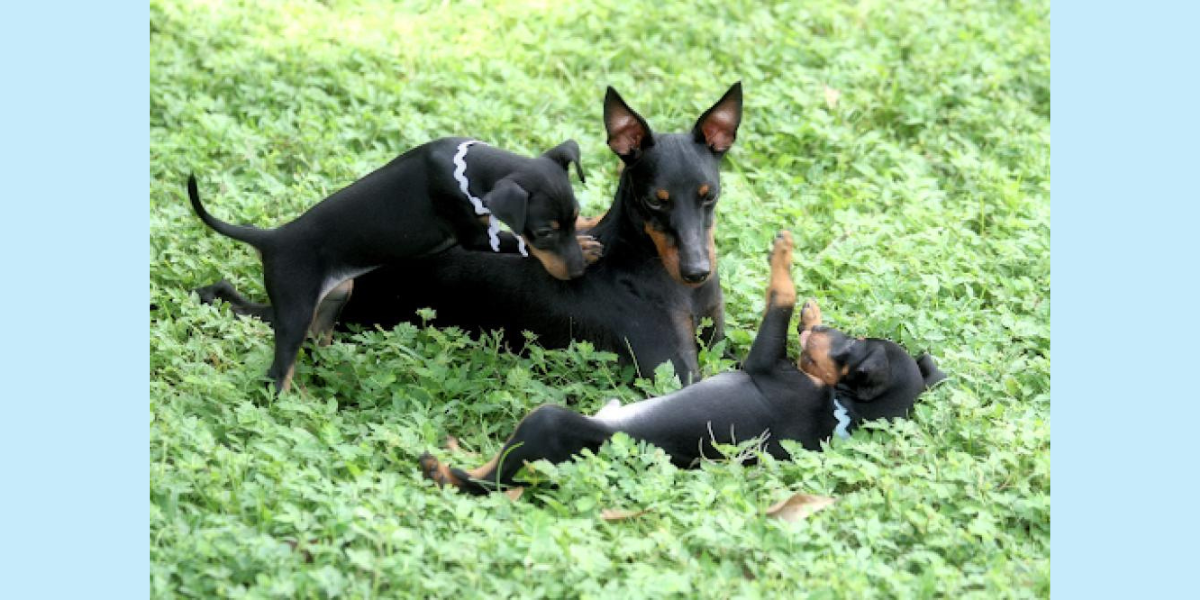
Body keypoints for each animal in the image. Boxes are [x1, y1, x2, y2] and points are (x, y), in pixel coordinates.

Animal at [420, 231, 945, 494]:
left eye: (850, 351)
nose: (820, 333)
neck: (842, 410)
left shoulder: (763, 363)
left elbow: (781, 296)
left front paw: (785, 258)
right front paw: (811, 314)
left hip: (546, 425)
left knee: (482, 480)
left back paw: (441, 469)